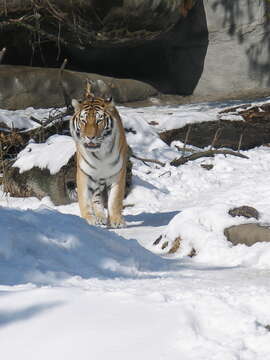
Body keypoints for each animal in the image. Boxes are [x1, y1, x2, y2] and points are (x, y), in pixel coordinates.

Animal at [70, 80, 128, 229]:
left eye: (99, 120)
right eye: (83, 120)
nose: (90, 137)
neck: (100, 155)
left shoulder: (118, 173)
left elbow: (115, 199)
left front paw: (116, 220)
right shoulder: (84, 173)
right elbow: (85, 199)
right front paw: (89, 220)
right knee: (96, 198)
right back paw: (100, 217)